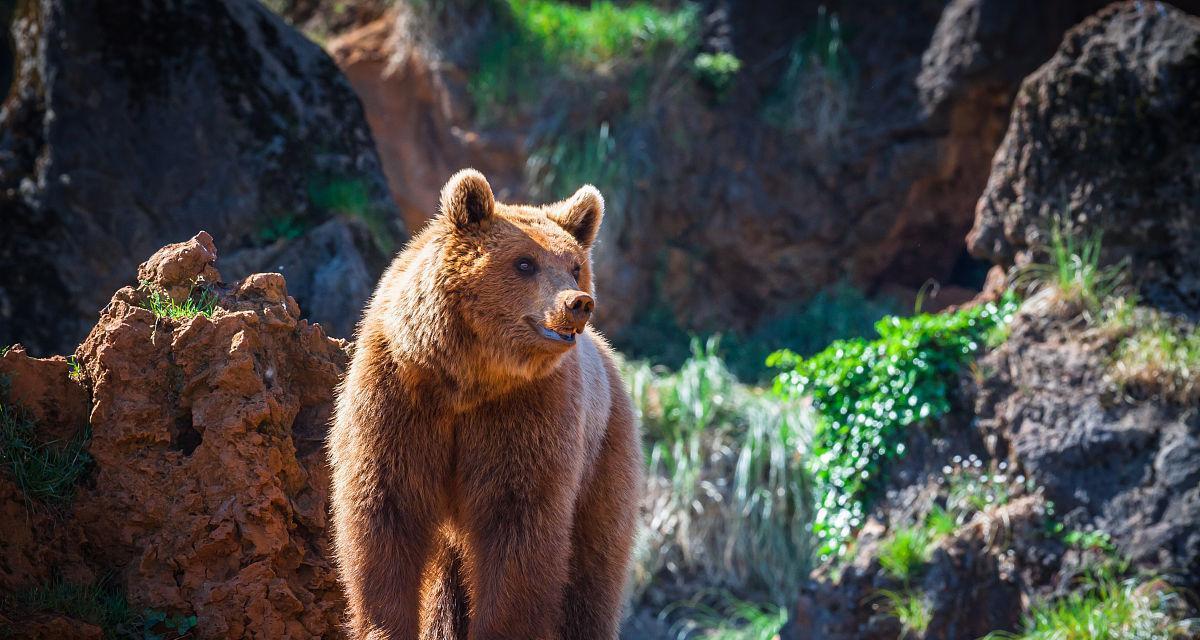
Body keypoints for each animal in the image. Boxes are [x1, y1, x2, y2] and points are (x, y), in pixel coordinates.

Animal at [328, 166, 643, 633]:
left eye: (575, 267)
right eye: (525, 262)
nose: (578, 302)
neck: (467, 378)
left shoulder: (527, 413)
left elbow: (518, 528)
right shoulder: (398, 397)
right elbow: (385, 512)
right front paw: (383, 626)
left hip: (604, 455)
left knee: (594, 565)